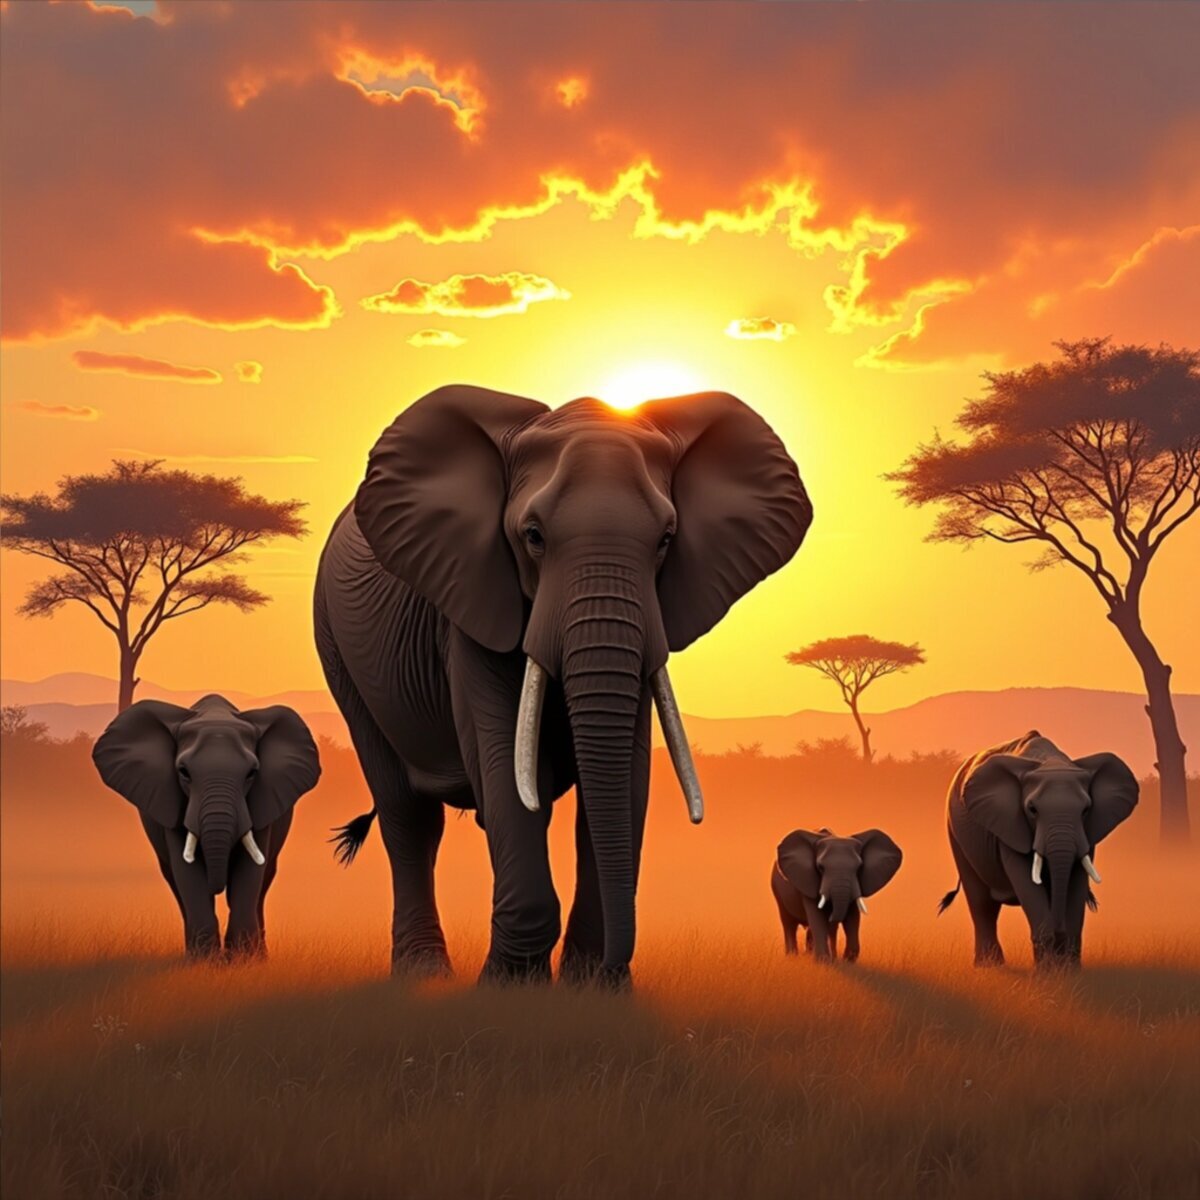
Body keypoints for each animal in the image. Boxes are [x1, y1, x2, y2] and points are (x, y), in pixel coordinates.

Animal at [93, 695, 321, 958]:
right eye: (183, 772)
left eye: (252, 773)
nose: (217, 887)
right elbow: (187, 872)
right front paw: (205, 961)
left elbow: (249, 872)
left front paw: (242, 961)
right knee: (175, 881)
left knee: (264, 881)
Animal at [315, 385, 812, 987]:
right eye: (533, 537)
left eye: (666, 539)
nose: (614, 969)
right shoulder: (473, 608)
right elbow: (503, 767)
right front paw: (508, 987)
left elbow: (626, 778)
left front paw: (591, 988)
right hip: (338, 651)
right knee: (407, 816)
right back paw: (424, 974)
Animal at [771, 827, 903, 961]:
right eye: (820, 867)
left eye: (859, 867)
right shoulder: (808, 880)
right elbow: (817, 916)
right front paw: (823, 961)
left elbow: (853, 918)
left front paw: (847, 960)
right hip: (777, 890)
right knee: (789, 923)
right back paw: (793, 956)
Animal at [938, 730, 1138, 969]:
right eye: (1032, 809)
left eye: (1086, 810)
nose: (1059, 934)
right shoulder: (1011, 825)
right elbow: (1026, 881)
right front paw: (1047, 971)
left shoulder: (1088, 832)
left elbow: (1077, 880)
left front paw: (1069, 970)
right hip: (956, 835)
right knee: (981, 903)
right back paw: (989, 966)